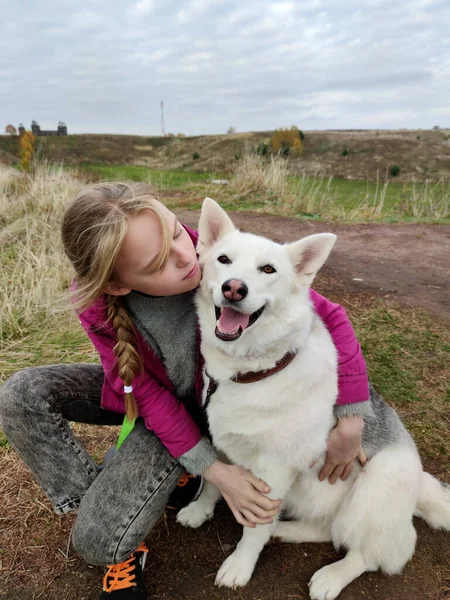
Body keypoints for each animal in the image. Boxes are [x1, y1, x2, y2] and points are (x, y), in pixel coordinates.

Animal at [177, 198, 450, 600]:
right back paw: (285, 531)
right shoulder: (222, 444)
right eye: (224, 260)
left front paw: (241, 565)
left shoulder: (274, 471)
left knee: (370, 553)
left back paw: (332, 576)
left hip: (375, 486)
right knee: (326, 529)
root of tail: (419, 485)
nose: (233, 289)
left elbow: (253, 530)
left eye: (268, 269)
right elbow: (214, 482)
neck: (256, 370)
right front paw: (200, 511)